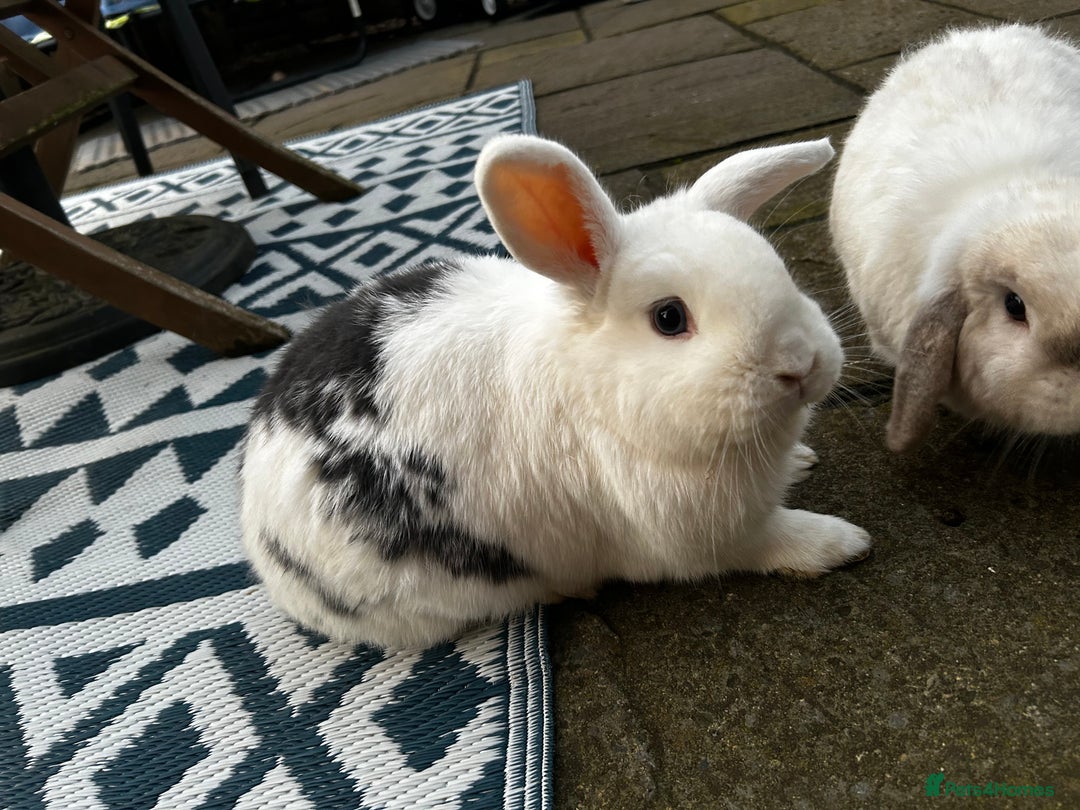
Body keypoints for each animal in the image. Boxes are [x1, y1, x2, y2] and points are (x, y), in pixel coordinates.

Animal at [240, 133, 871, 650]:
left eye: (779, 268)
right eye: (669, 317)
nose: (801, 364)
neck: (595, 392)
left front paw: (803, 461)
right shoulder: (708, 537)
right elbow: (773, 541)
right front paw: (843, 543)